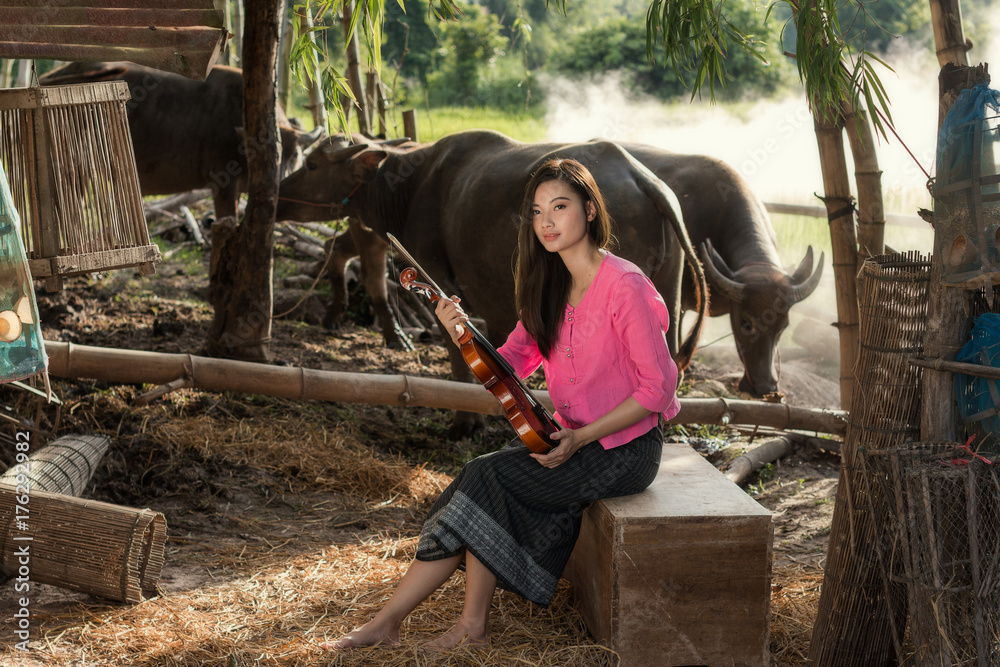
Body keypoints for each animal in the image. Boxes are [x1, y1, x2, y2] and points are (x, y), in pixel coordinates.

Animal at [278, 131, 708, 434]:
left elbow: (458, 355)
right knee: (669, 372)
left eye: (312, 164)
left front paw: (465, 423)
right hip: (668, 294)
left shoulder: (437, 272)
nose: (278, 195)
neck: (407, 187)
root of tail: (643, 178)